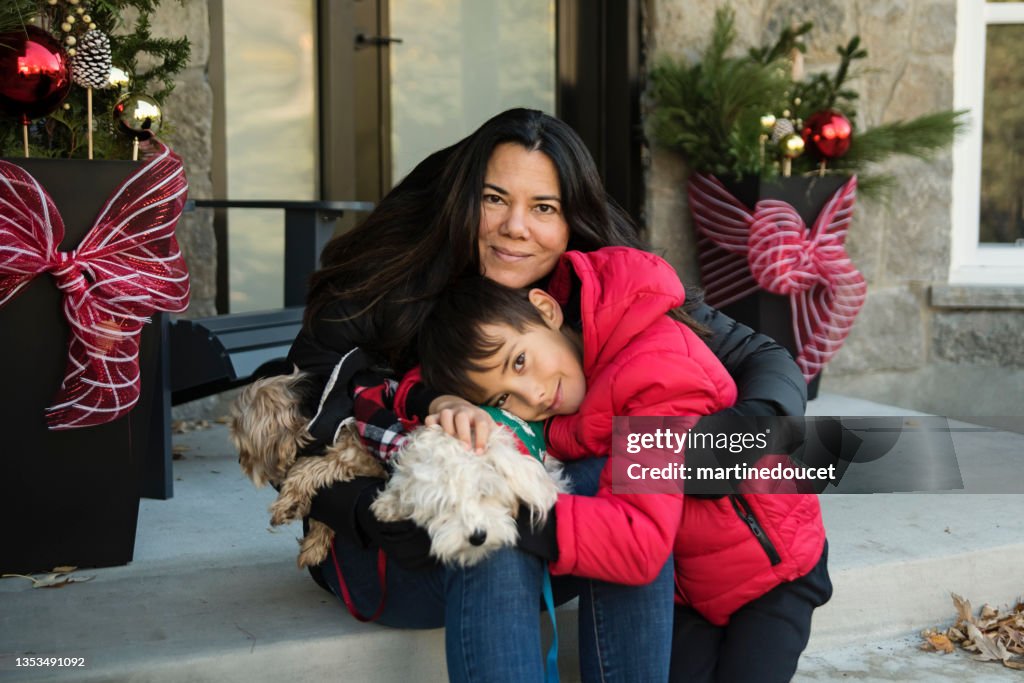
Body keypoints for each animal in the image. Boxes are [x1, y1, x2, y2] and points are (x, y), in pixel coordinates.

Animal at [231, 370, 569, 569]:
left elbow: (310, 467)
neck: (321, 408)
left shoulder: (353, 452)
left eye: (237, 432)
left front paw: (289, 505)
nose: (239, 462)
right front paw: (315, 542)